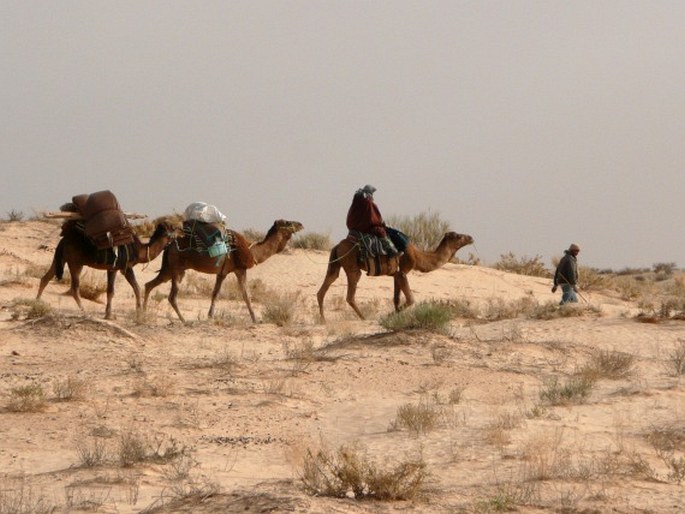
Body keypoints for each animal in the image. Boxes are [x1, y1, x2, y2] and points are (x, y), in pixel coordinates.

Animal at [37, 219, 176, 318]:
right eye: (173, 229)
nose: (177, 235)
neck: (139, 250)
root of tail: (64, 240)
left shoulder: (116, 268)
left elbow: (115, 290)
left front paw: (110, 314)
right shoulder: (123, 267)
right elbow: (132, 288)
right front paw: (137, 312)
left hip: (61, 258)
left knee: (45, 278)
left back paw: (36, 301)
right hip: (76, 262)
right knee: (74, 288)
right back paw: (84, 310)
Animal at [143, 218, 304, 322]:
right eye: (288, 222)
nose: (301, 224)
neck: (252, 251)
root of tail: (169, 245)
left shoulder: (222, 273)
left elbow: (215, 293)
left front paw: (210, 316)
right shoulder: (240, 269)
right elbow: (246, 294)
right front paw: (255, 319)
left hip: (171, 269)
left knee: (149, 285)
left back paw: (142, 313)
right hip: (176, 268)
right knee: (172, 296)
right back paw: (183, 320)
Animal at [316, 231, 472, 320]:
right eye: (459, 236)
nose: (471, 237)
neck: (418, 256)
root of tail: (337, 245)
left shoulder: (396, 274)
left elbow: (396, 298)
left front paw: (396, 315)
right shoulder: (403, 270)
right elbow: (410, 299)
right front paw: (389, 315)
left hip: (335, 262)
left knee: (326, 284)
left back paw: (323, 320)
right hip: (351, 265)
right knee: (350, 293)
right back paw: (364, 318)